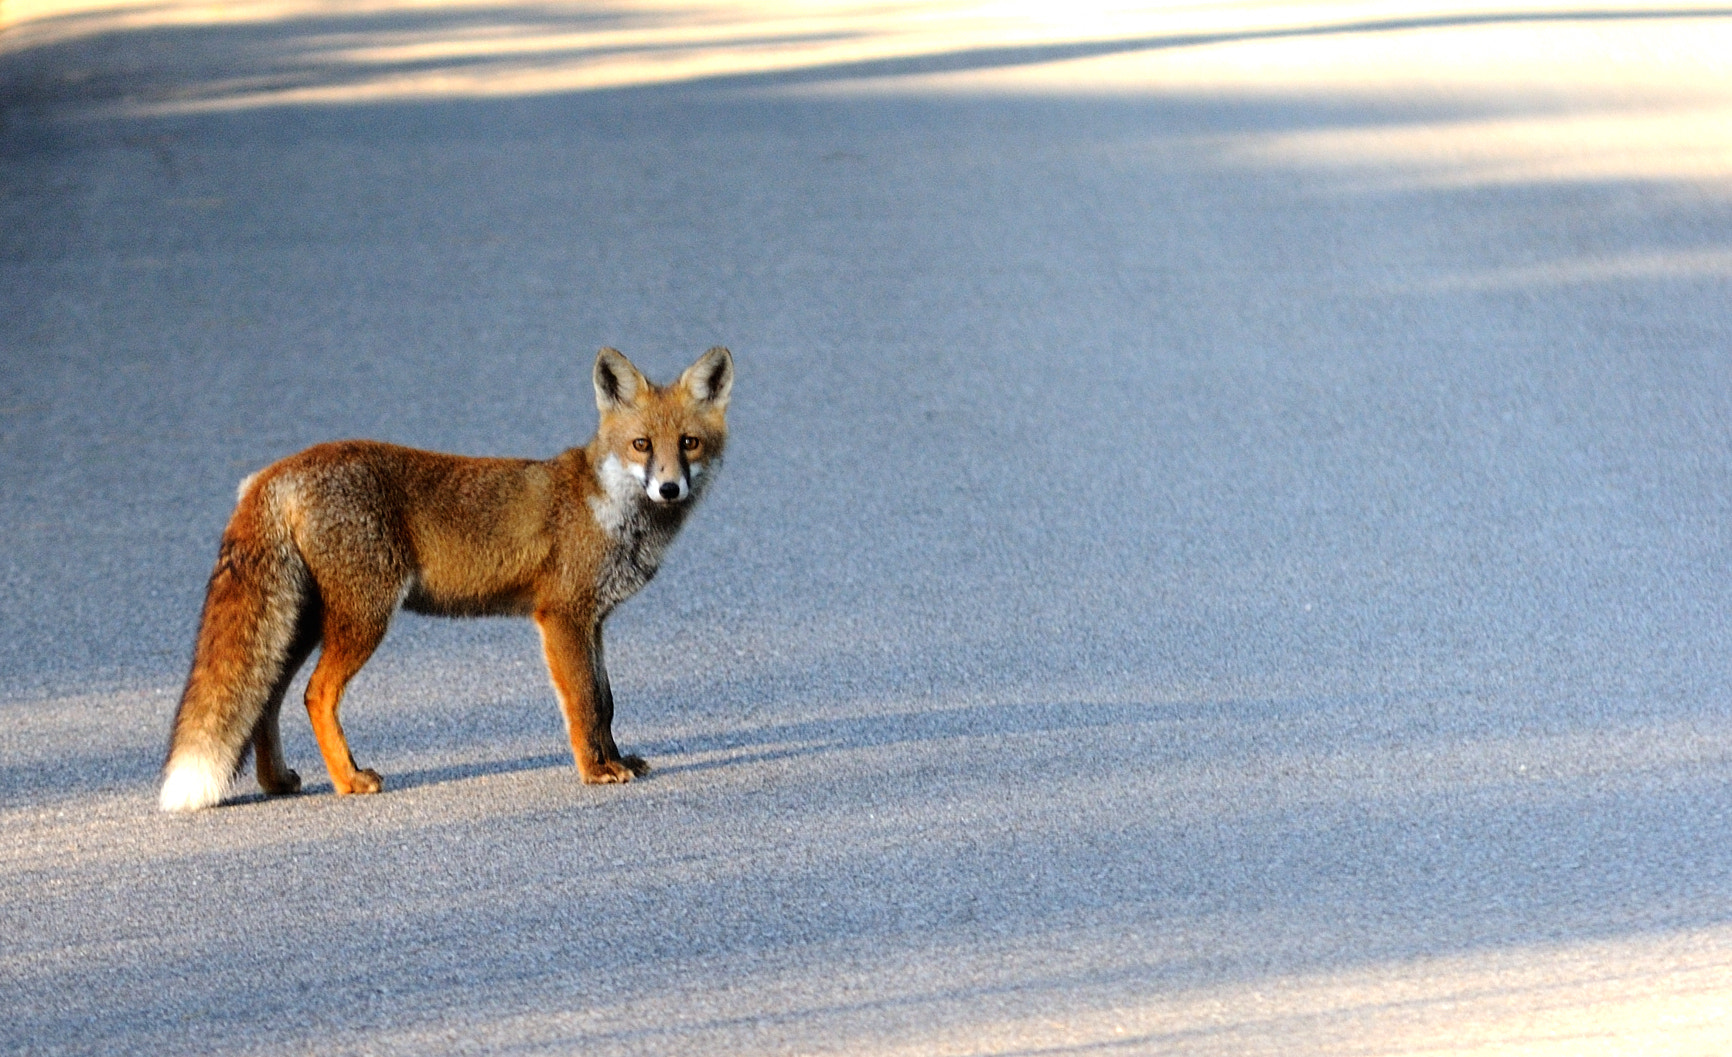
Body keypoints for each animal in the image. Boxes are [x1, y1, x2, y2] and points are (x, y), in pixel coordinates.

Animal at [158, 346, 732, 812]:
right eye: (641, 445)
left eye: (689, 443)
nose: (669, 488)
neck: (605, 506)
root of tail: (273, 473)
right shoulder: (562, 616)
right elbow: (584, 702)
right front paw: (595, 771)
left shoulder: (595, 622)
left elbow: (606, 703)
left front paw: (616, 759)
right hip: (363, 618)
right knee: (314, 695)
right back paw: (348, 781)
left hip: (301, 625)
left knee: (267, 700)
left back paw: (277, 781)